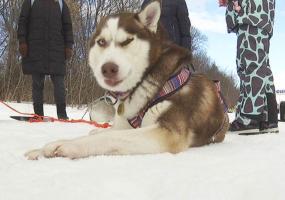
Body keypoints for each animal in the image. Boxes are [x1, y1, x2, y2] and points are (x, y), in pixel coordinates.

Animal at [24, 0, 229, 159]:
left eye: (127, 41)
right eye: (101, 42)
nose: (108, 68)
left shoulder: (168, 132)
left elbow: (108, 138)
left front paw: (67, 146)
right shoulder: (126, 125)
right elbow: (108, 133)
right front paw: (39, 150)